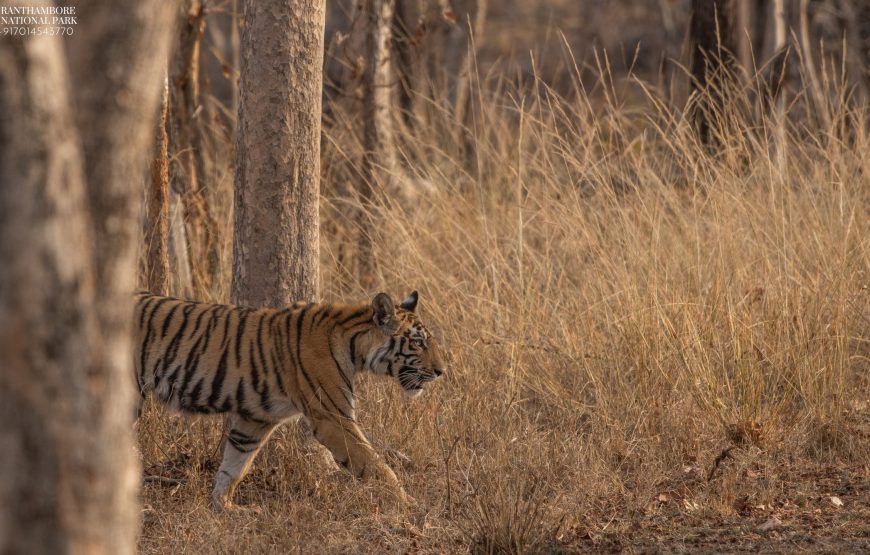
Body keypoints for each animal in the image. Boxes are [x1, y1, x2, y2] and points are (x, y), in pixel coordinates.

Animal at [134, 290, 444, 509]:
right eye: (417, 343)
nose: (441, 371)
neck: (355, 346)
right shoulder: (332, 417)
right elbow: (374, 463)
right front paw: (409, 505)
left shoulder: (256, 419)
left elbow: (235, 464)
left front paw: (224, 506)